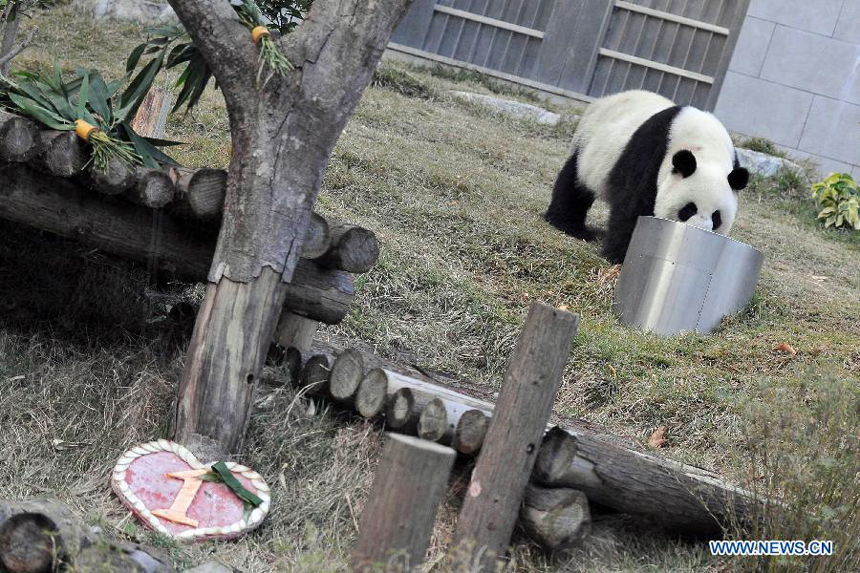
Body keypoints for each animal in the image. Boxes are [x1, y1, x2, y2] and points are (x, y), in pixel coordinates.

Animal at [548, 90, 748, 264]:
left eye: (716, 217)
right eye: (689, 209)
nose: (698, 232)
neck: (705, 150)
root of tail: (608, 98)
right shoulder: (651, 155)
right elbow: (633, 207)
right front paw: (623, 254)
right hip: (588, 144)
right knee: (574, 184)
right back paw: (569, 226)